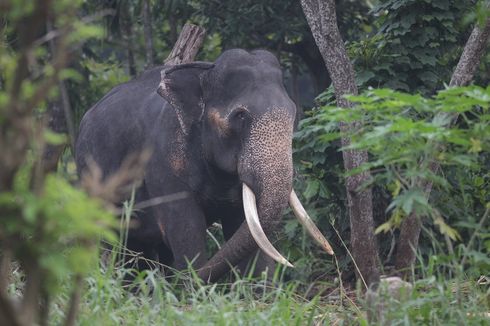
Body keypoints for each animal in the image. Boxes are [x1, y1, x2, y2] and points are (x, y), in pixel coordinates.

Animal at [75, 48, 334, 282]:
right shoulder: (162, 164)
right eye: (240, 116)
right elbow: (185, 230)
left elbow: (246, 228)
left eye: (293, 112)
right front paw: (192, 288)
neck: (203, 71)